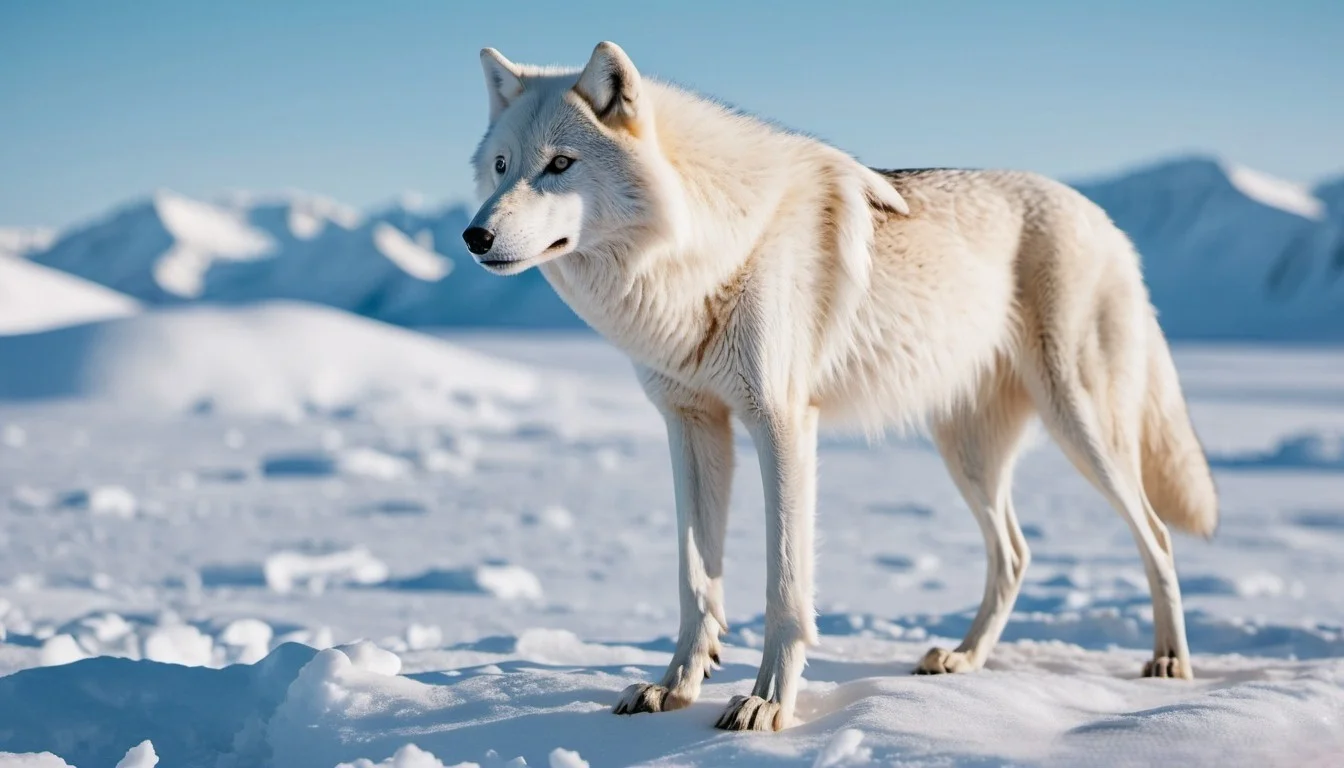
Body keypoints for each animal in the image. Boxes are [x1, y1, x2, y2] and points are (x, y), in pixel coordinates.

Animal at [462, 42, 1218, 732]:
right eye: (502, 167)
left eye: (561, 163)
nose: (475, 236)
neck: (709, 250)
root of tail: (1109, 224)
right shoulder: (691, 425)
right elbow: (695, 581)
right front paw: (672, 689)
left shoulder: (783, 424)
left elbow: (785, 587)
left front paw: (767, 704)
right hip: (969, 457)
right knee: (1016, 553)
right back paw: (963, 660)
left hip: (1083, 430)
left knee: (1156, 535)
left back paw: (1169, 662)